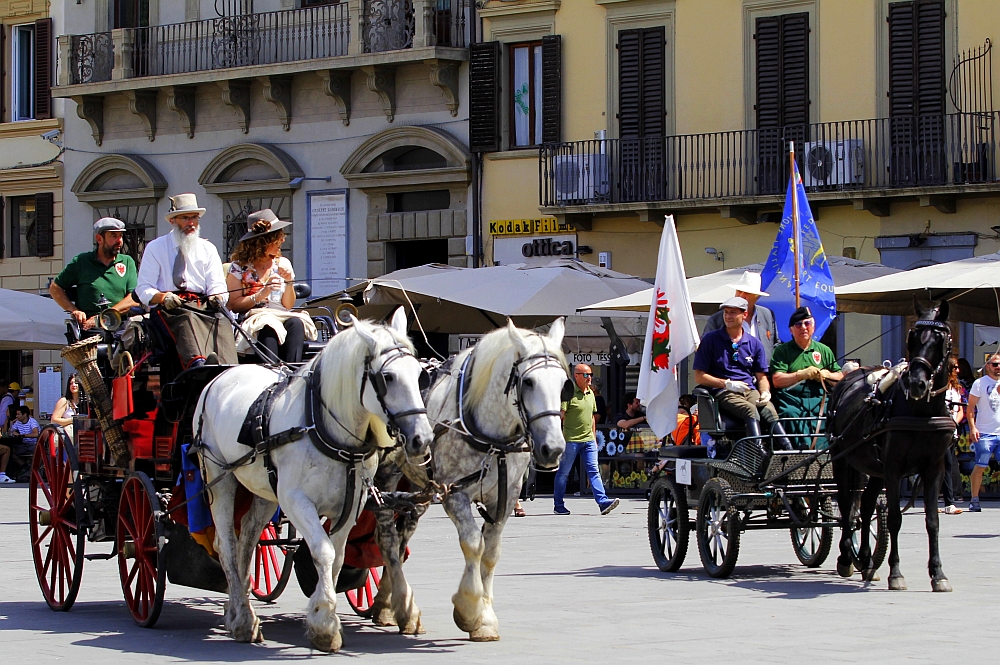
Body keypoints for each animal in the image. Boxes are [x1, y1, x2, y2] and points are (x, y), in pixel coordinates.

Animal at [191, 308, 434, 652]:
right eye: (387, 377)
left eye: (419, 374)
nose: (421, 438)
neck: (324, 428)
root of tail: (220, 376)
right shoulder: (296, 501)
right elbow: (323, 552)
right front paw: (325, 623)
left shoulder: (352, 503)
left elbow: (338, 557)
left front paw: (324, 612)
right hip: (219, 478)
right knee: (226, 543)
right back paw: (242, 618)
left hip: (264, 490)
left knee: (248, 540)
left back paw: (238, 608)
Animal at [370, 320, 572, 640]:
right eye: (528, 382)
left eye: (564, 384)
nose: (552, 449)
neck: (492, 439)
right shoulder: (454, 493)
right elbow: (473, 544)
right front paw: (469, 608)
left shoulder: (506, 496)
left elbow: (490, 553)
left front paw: (486, 617)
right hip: (384, 480)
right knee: (388, 540)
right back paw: (398, 607)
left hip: (418, 488)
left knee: (403, 538)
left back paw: (390, 603)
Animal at [824, 298, 956, 588]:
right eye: (913, 337)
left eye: (940, 339)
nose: (917, 383)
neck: (921, 412)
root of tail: (853, 376)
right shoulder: (894, 467)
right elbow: (895, 518)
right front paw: (896, 572)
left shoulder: (934, 468)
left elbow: (932, 521)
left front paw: (938, 573)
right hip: (843, 459)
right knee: (846, 504)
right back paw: (846, 557)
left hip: (874, 468)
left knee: (865, 505)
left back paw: (865, 560)